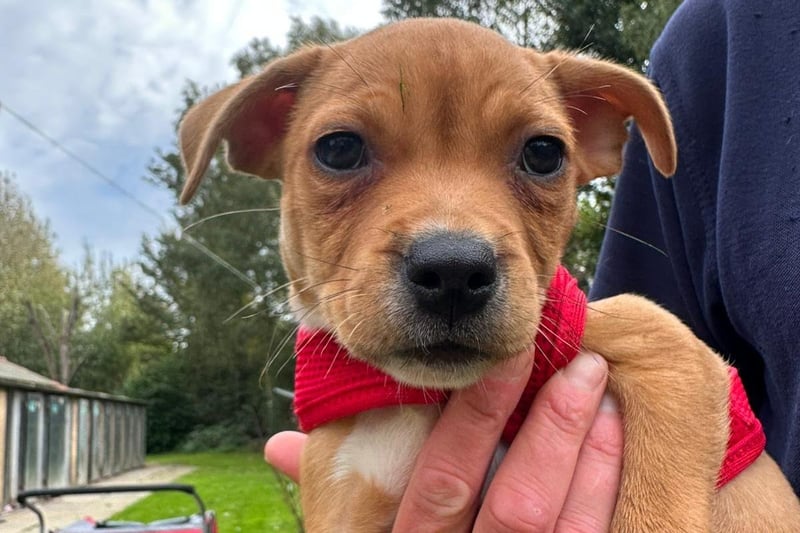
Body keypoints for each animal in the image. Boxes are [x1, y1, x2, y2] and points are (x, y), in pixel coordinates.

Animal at [177, 18, 800, 528]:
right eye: (338, 149)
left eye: (544, 154)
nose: (453, 272)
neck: (419, 401)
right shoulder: (347, 499)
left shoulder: (665, 354)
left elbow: (655, 509)